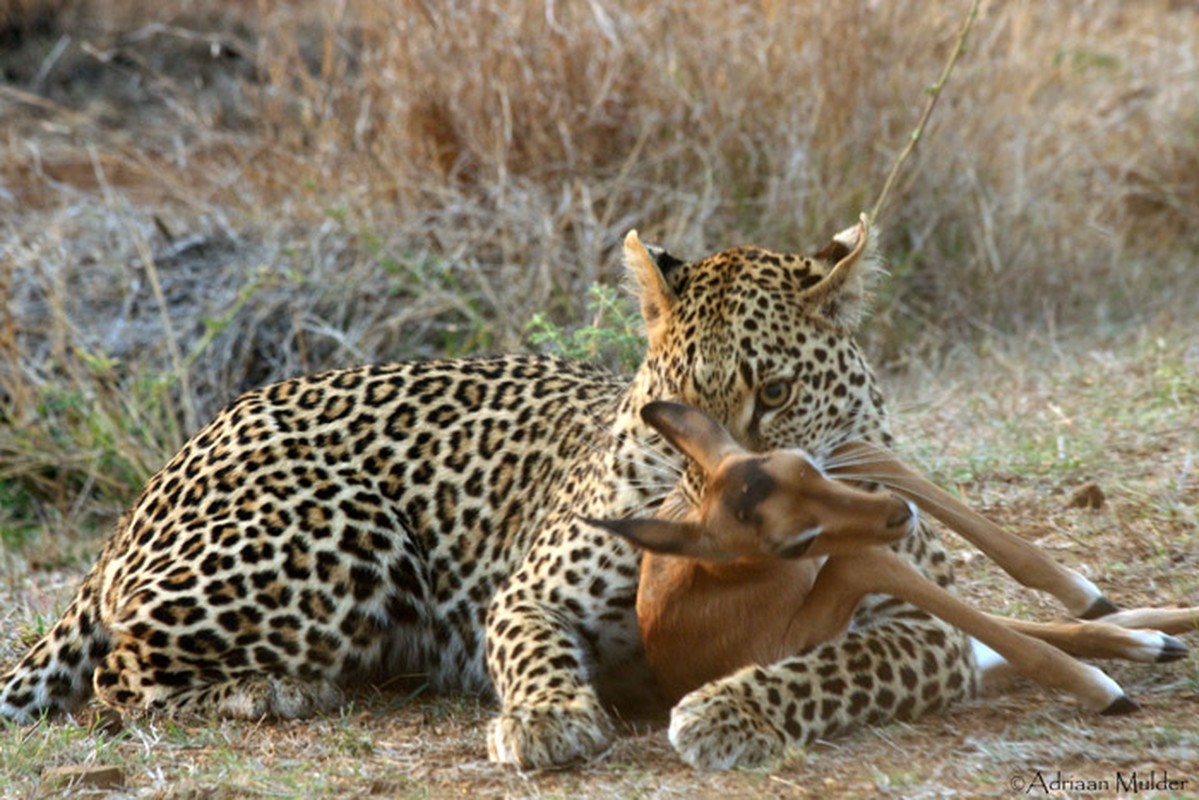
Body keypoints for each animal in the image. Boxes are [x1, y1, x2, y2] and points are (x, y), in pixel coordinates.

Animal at [0, 217, 978, 767]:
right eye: (671, 407)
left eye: (771, 394)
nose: (722, 492)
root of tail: (170, 464)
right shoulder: (530, 594)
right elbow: (535, 655)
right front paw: (545, 723)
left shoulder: (925, 629)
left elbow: (828, 669)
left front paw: (728, 710)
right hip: (344, 531)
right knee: (119, 676)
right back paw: (273, 692)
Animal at [589, 402, 1199, 710]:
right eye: (795, 541)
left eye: (802, 468)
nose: (894, 513)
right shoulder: (847, 578)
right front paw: (1107, 691)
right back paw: (1142, 643)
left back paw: (1146, 629)